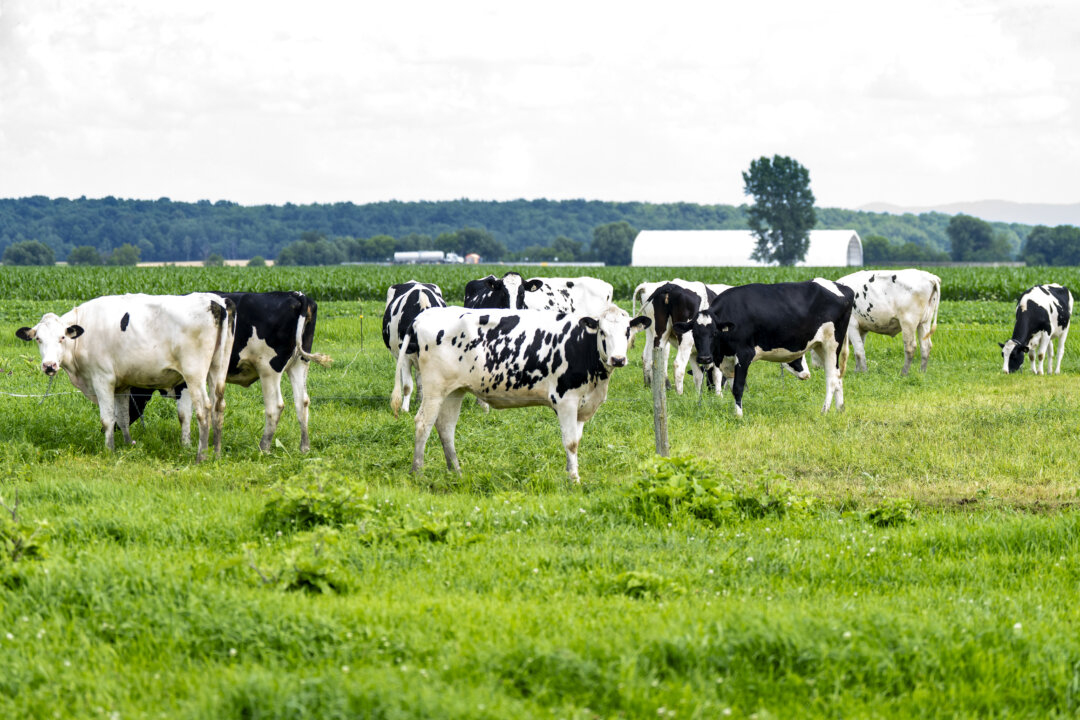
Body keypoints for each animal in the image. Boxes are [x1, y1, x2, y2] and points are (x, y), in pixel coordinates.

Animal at [16, 293, 235, 461]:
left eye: (62, 337)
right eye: (38, 339)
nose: (49, 366)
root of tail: (214, 301)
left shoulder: (102, 379)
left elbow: (107, 419)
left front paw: (108, 451)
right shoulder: (121, 386)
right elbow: (122, 418)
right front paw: (128, 445)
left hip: (194, 374)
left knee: (204, 409)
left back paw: (201, 456)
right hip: (217, 369)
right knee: (218, 407)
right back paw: (216, 454)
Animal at [128, 291, 331, 452]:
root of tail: (297, 295)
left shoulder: (185, 379)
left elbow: (184, 413)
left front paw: (186, 445)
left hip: (269, 368)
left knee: (275, 406)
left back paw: (263, 447)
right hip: (299, 364)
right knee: (302, 402)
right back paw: (304, 447)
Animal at [391, 305, 650, 480]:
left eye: (627, 331)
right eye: (602, 332)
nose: (618, 359)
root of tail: (423, 316)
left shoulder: (583, 405)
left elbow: (576, 440)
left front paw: (572, 473)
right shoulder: (566, 400)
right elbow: (570, 443)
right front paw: (573, 479)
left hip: (454, 390)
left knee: (445, 428)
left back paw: (456, 471)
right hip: (434, 388)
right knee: (423, 423)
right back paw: (418, 472)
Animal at [674, 279, 854, 418]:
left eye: (714, 333)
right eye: (695, 333)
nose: (704, 358)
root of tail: (843, 287)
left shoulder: (744, 354)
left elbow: (738, 387)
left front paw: (739, 416)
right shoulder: (727, 360)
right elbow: (732, 387)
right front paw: (736, 411)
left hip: (832, 344)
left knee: (831, 378)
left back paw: (825, 411)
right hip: (820, 345)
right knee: (838, 377)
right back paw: (840, 409)